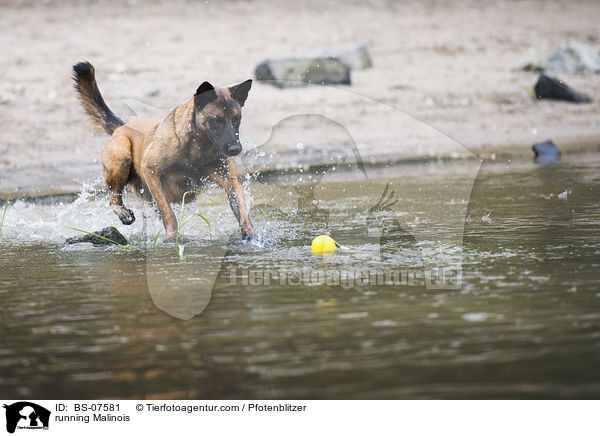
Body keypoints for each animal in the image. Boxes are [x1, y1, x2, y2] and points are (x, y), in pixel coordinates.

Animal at [73, 61, 255, 240]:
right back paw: (123, 213)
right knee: (114, 198)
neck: (198, 148)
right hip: (121, 157)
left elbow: (243, 213)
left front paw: (251, 236)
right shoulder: (151, 172)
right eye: (216, 120)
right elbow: (168, 214)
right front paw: (171, 239)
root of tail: (123, 126)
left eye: (237, 119)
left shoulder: (230, 182)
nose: (235, 149)